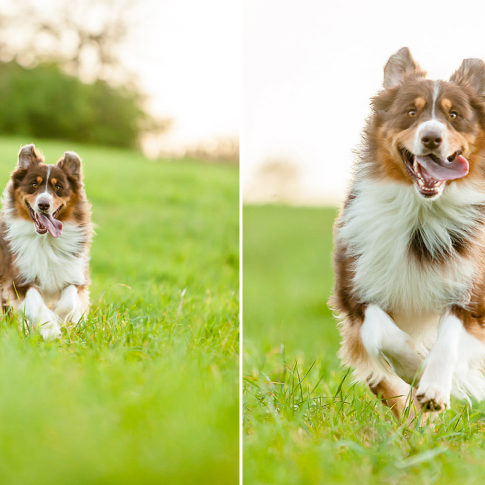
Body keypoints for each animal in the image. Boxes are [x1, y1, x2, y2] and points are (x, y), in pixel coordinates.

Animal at [0, 146, 92, 338]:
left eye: (58, 187)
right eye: (34, 184)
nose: (43, 204)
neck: (45, 240)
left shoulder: (74, 275)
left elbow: (69, 300)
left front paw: (60, 316)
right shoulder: (18, 279)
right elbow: (36, 305)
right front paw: (51, 330)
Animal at [332, 49, 485, 418]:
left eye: (454, 115)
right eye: (411, 112)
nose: (431, 137)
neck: (420, 213)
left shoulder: (473, 296)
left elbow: (449, 336)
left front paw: (434, 384)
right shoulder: (356, 292)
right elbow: (381, 335)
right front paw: (416, 367)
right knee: (383, 381)